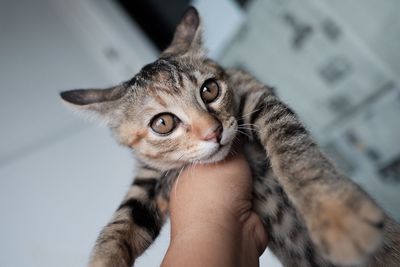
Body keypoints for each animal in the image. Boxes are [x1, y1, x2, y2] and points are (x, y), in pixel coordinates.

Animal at [60, 5, 400, 267]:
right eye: (163, 123)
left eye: (210, 89)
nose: (214, 132)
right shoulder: (149, 176)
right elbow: (121, 223)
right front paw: (104, 258)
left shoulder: (256, 93)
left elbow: (293, 152)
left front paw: (339, 216)